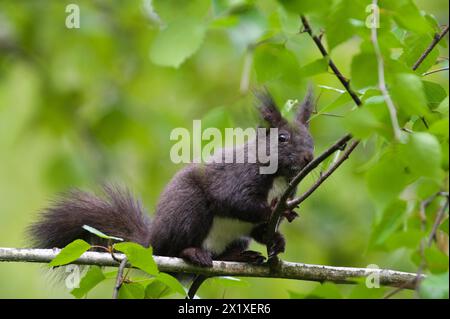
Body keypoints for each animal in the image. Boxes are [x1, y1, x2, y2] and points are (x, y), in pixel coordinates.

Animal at [28, 89, 314, 268]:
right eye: (282, 138)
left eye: (310, 138)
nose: (309, 157)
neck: (279, 176)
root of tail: (150, 243)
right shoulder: (239, 176)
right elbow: (234, 200)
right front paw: (274, 210)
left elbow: (260, 229)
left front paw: (277, 239)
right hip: (188, 211)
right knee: (174, 249)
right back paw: (192, 253)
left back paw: (241, 256)